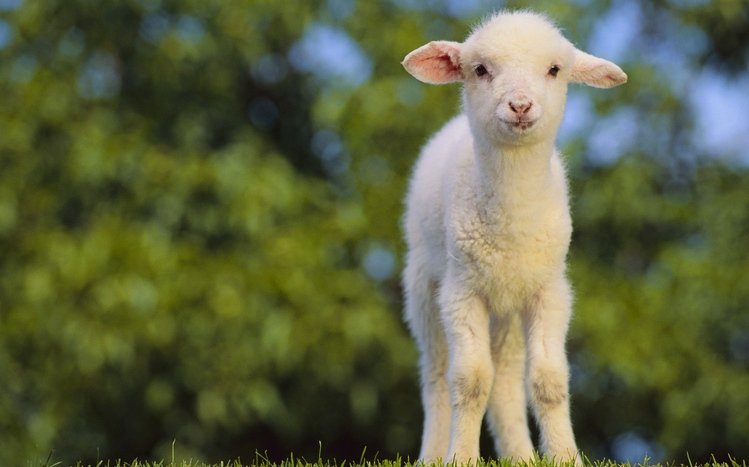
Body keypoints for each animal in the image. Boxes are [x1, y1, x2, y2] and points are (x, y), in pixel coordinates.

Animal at [400, 10, 627, 465]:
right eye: (480, 70)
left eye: (555, 70)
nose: (520, 105)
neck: (512, 224)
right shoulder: (461, 292)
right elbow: (469, 380)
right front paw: (461, 457)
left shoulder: (549, 291)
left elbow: (549, 380)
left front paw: (566, 457)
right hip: (423, 288)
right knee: (436, 374)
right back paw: (433, 453)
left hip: (508, 309)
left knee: (505, 379)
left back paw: (520, 455)